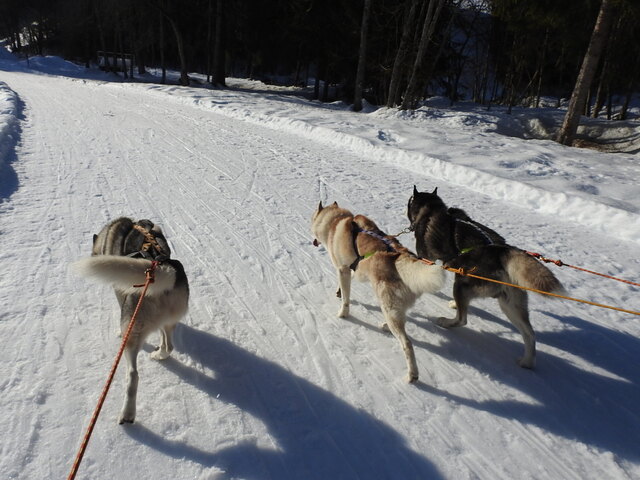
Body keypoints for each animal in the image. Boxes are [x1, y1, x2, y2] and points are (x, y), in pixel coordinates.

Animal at [73, 218, 188, 424]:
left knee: (133, 375)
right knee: (168, 345)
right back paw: (158, 354)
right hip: (167, 322)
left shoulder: (120, 292)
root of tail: (162, 270)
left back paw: (127, 413)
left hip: (132, 334)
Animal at [312, 202, 444, 382]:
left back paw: (412, 375)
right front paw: (339, 292)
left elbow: (346, 299)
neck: (335, 221)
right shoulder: (349, 271)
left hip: (387, 306)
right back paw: (386, 326)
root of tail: (400, 257)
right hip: (394, 308)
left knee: (407, 344)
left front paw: (342, 313)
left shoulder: (342, 269)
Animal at [408, 187, 564, 368]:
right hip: (509, 305)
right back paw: (527, 362)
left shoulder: (426, 257)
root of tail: (501, 251)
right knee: (530, 335)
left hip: (461, 285)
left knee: (462, 319)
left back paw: (446, 322)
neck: (432, 208)